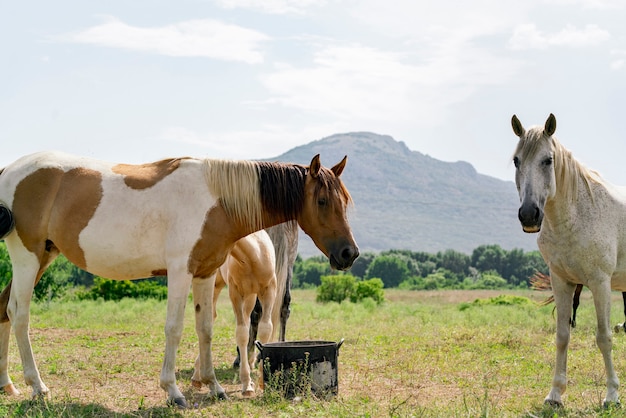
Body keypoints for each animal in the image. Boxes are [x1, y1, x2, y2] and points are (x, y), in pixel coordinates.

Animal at [0, 151, 356, 408]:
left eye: (345, 201)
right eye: (322, 201)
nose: (349, 253)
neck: (216, 199)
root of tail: (9, 172)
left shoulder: (205, 274)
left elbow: (205, 329)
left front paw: (213, 386)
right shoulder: (180, 272)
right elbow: (175, 329)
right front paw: (173, 391)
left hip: (44, 256)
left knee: (4, 309)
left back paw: (8, 384)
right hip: (27, 257)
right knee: (19, 315)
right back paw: (38, 386)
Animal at [510, 112, 624, 406]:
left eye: (547, 160)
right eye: (516, 160)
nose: (529, 215)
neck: (575, 216)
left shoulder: (600, 283)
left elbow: (604, 337)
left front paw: (612, 395)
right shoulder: (561, 282)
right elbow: (562, 336)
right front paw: (555, 394)